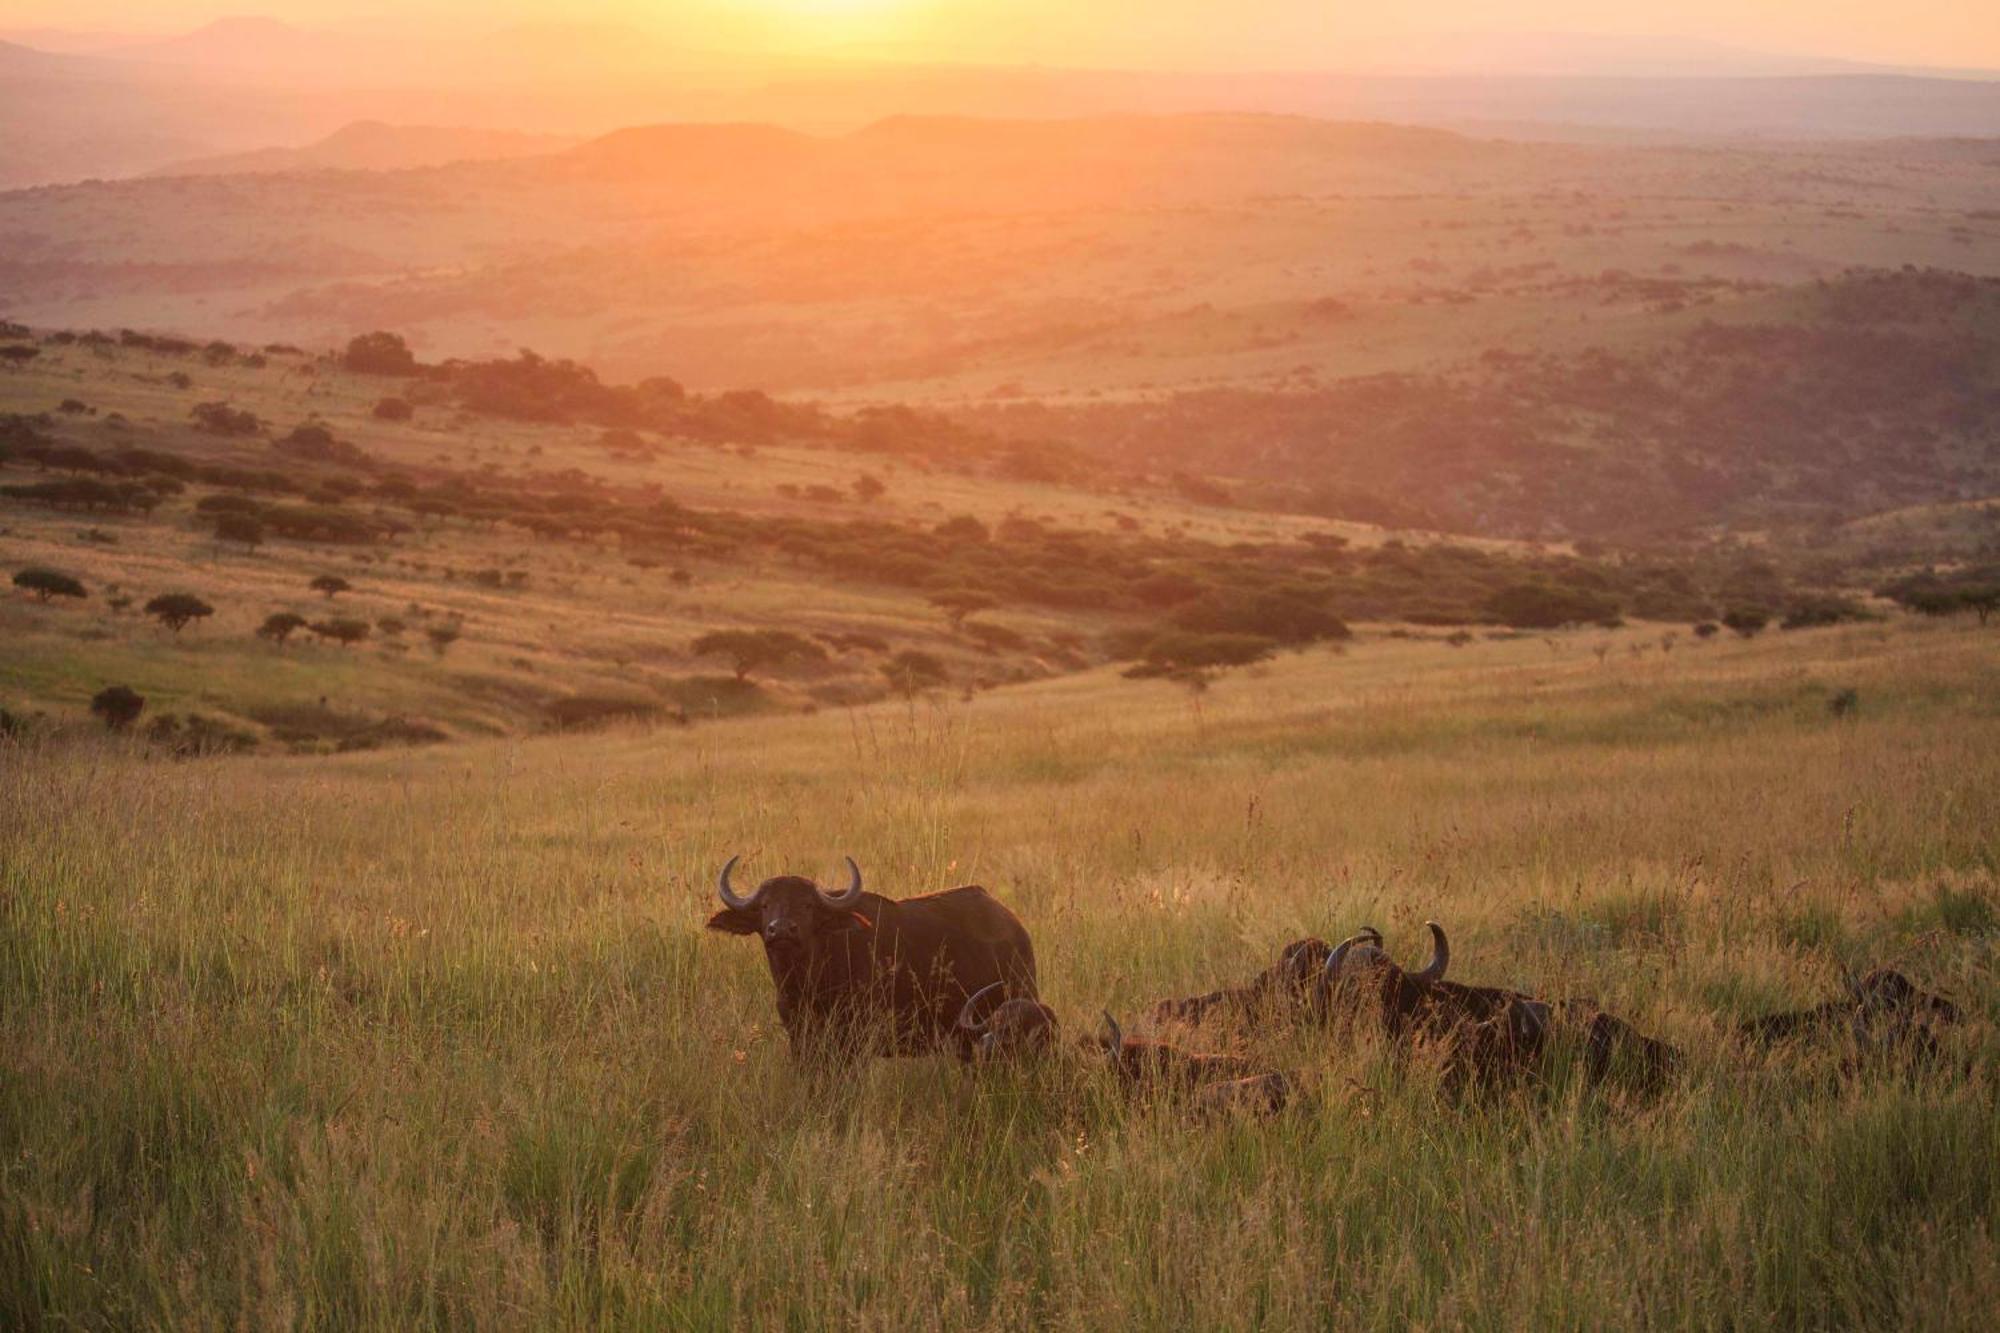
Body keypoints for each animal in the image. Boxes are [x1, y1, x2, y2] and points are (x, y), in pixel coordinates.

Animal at [708, 852, 1048, 1056]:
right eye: (765, 905)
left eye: (807, 905)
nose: (781, 930)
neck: (808, 980)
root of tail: (1015, 927)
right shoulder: (801, 1038)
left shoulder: (853, 1040)